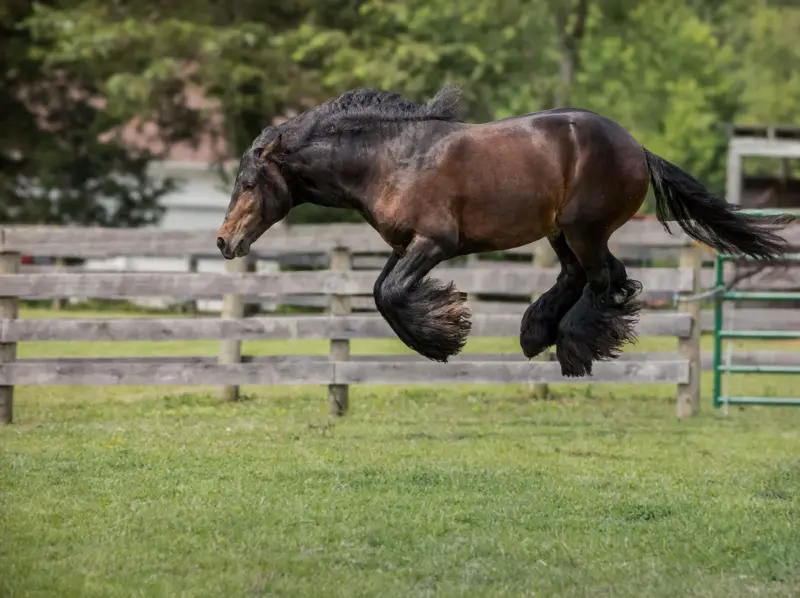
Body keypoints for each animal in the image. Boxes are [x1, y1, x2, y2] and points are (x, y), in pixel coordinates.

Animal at [215, 84, 794, 377]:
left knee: (605, 279)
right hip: (562, 232)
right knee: (588, 277)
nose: (225, 241)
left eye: (248, 182)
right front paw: (442, 330)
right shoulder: (405, 245)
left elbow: (392, 294)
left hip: (584, 228)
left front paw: (443, 337)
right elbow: (382, 292)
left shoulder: (435, 243)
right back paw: (538, 333)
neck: (390, 159)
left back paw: (573, 347)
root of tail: (638, 148)